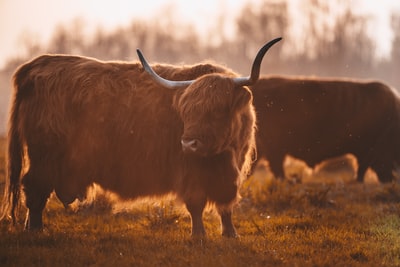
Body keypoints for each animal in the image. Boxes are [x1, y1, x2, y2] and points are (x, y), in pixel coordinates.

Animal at [0, 37, 282, 237]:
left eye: (217, 110)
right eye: (186, 111)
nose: (188, 143)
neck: (222, 155)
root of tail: (37, 64)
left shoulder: (232, 171)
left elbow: (226, 206)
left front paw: (230, 234)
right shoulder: (189, 172)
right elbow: (196, 204)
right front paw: (199, 236)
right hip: (43, 156)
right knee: (33, 188)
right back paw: (35, 229)